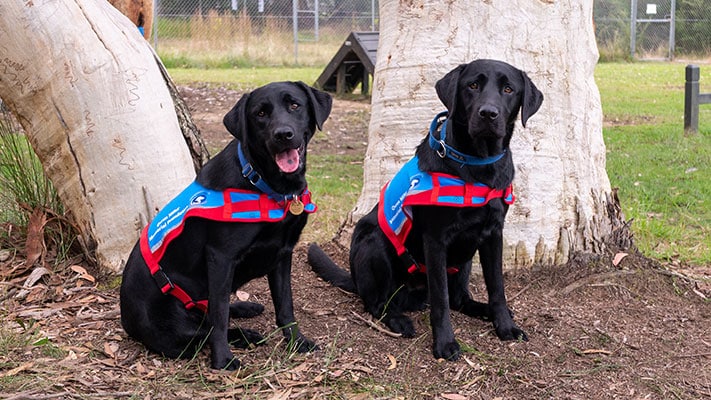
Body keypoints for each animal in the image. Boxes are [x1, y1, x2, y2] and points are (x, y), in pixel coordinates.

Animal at [121, 82, 332, 372]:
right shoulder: (221, 257)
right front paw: (223, 359)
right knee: (203, 329)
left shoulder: (283, 254)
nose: (283, 134)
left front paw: (296, 340)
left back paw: (245, 310)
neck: (264, 184)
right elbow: (219, 318)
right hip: (172, 329)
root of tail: (125, 319)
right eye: (260, 113)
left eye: (295, 105)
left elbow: (285, 305)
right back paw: (243, 335)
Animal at [308, 58, 544, 360]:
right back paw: (398, 319)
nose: (488, 114)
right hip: (375, 245)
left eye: (508, 89)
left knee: (459, 299)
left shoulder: (493, 235)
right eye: (473, 85)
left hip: (464, 261)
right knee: (377, 303)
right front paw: (444, 343)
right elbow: (440, 300)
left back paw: (481, 309)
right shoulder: (435, 241)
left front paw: (504, 325)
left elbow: (497, 289)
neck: (478, 167)